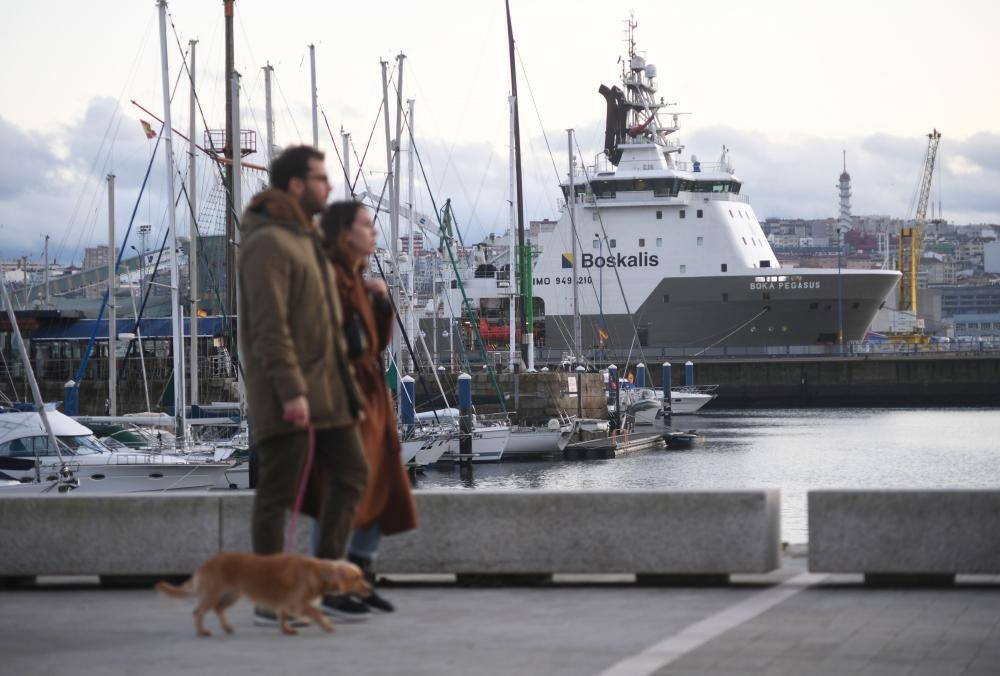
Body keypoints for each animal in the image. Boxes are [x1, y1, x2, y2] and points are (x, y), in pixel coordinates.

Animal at [158, 552, 370, 636]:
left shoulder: (285, 603)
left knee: (218, 609)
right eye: (357, 578)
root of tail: (203, 565)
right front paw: (327, 625)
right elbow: (317, 612)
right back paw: (201, 631)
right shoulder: (297, 603)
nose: (369, 588)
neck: (317, 571)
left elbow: (283, 617)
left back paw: (227, 627)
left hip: (231, 595)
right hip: (212, 593)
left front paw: (286, 630)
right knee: (198, 612)